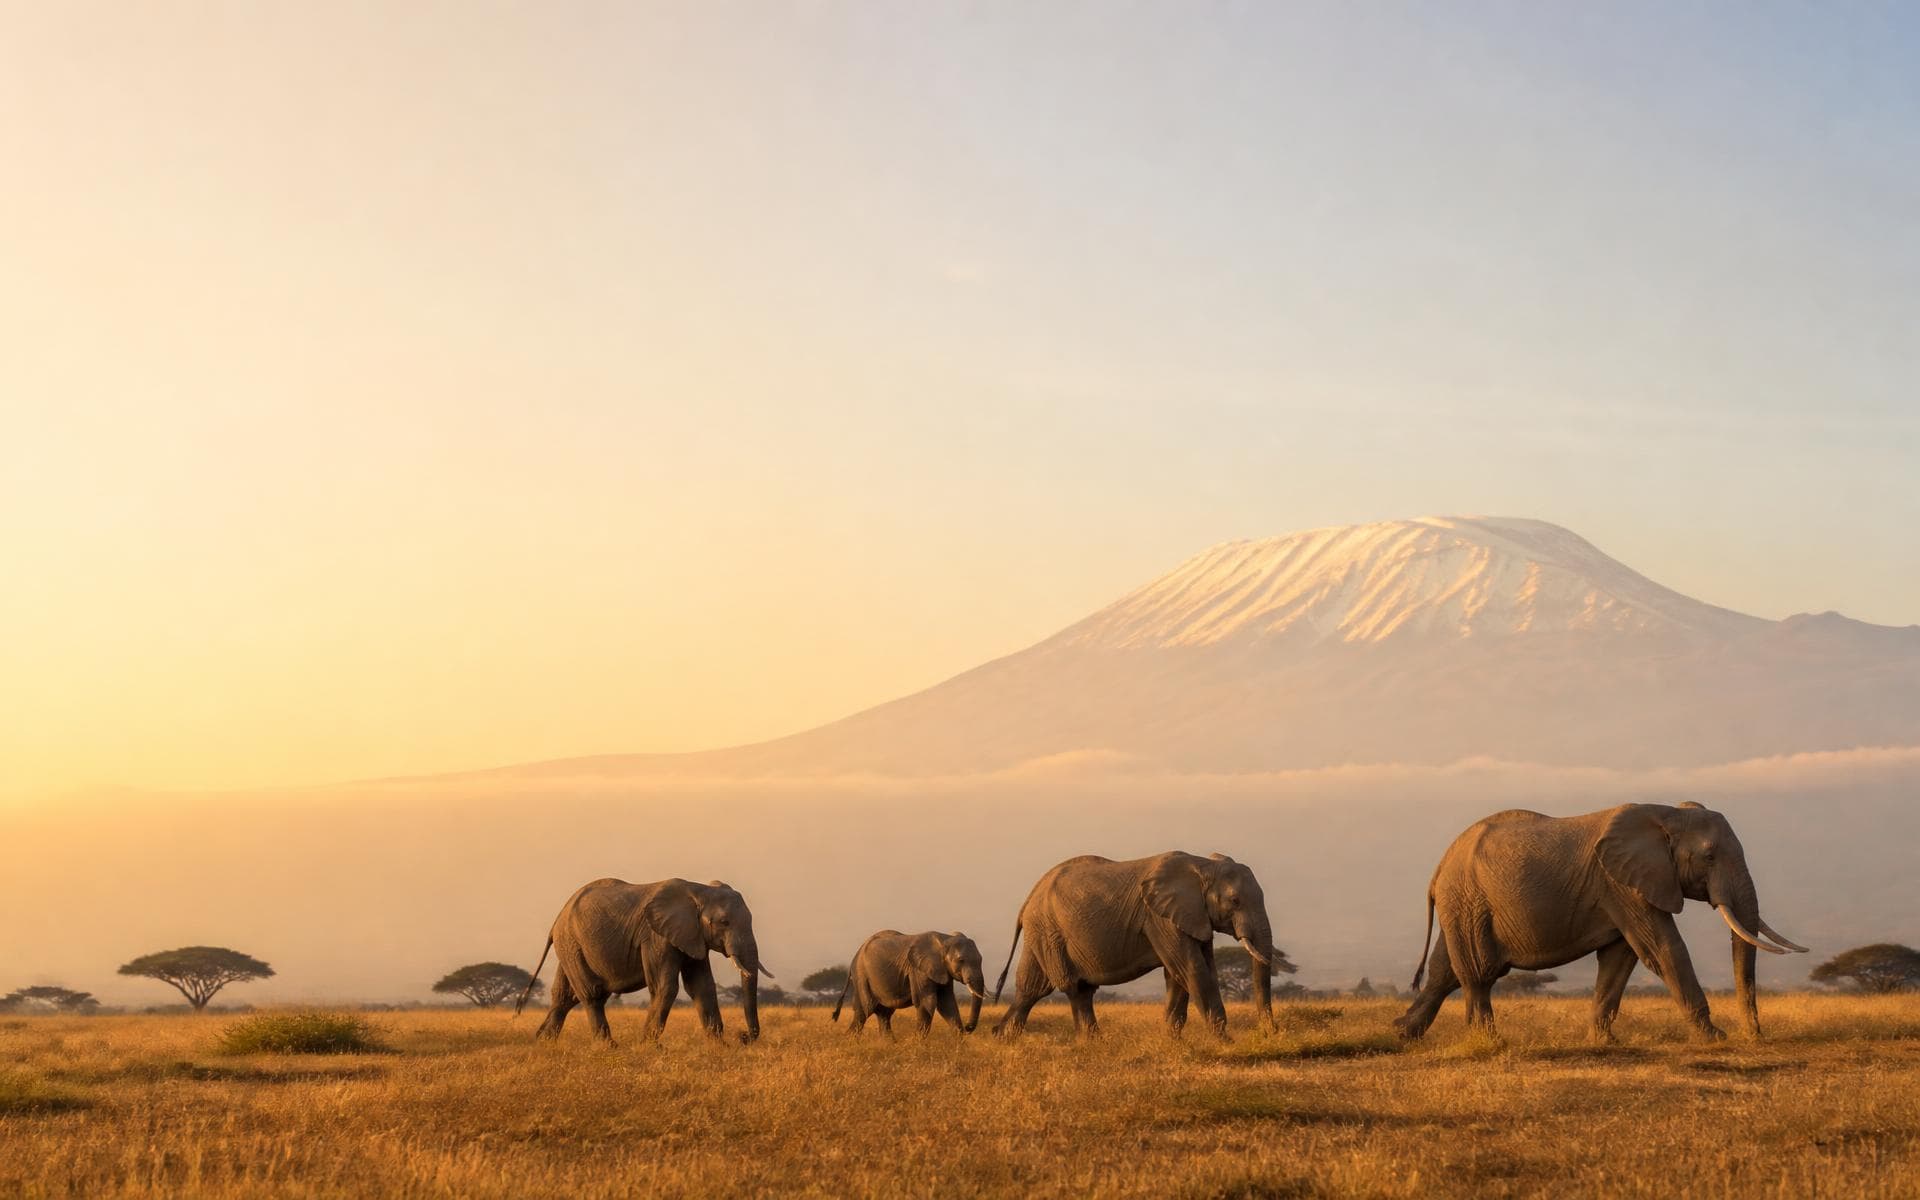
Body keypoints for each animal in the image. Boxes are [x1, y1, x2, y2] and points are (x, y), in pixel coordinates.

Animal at [516, 877, 773, 1044]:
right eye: (724, 922)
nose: (743, 1036)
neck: (698, 889)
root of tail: (556, 921)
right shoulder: (655, 935)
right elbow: (665, 986)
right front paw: (649, 1046)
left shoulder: (692, 935)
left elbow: (702, 986)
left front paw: (719, 1047)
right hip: (571, 942)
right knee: (592, 994)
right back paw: (607, 1048)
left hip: (571, 946)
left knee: (564, 997)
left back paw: (543, 1043)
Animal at [830, 930, 987, 1036]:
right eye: (961, 960)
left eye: (981, 960)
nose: (968, 1027)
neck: (944, 938)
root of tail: (854, 957)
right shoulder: (918, 970)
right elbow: (926, 1003)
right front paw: (918, 1045)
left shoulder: (942, 971)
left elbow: (947, 1004)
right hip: (862, 976)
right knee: (865, 1011)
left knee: (883, 1014)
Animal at [992, 851, 1283, 1040]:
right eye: (1235, 901)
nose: (1270, 1032)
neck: (1202, 865)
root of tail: (1030, 896)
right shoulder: (1160, 917)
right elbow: (1192, 970)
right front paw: (1223, 1041)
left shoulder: (1194, 917)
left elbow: (1182, 974)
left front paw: (1172, 1041)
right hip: (1049, 931)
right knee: (1072, 988)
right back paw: (1089, 1042)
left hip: (1042, 931)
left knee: (1032, 988)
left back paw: (1004, 1038)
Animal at [1392, 802, 1808, 1043]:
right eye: (1709, 856)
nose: (1755, 1037)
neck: (1666, 811)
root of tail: (1439, 867)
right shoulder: (1622, 884)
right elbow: (1662, 950)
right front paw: (1715, 1038)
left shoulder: (1623, 888)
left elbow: (1620, 958)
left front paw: (1604, 1043)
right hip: (1468, 901)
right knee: (1478, 973)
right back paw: (1489, 1043)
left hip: (1462, 904)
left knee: (1445, 972)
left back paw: (1402, 1033)